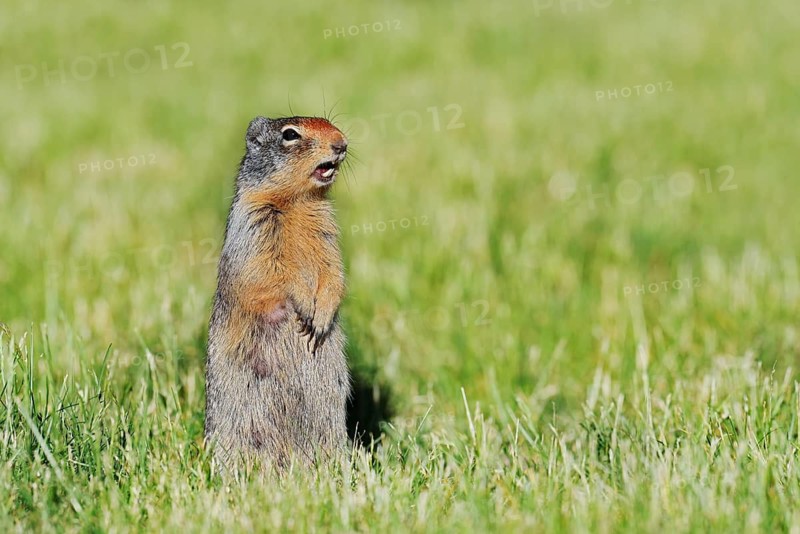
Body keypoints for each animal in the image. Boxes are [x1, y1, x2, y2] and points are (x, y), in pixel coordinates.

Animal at [204, 115, 351, 472]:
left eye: (330, 123)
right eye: (290, 134)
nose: (341, 143)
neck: (298, 202)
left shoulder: (328, 234)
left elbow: (333, 272)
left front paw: (320, 320)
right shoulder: (256, 225)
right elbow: (272, 271)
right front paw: (305, 308)